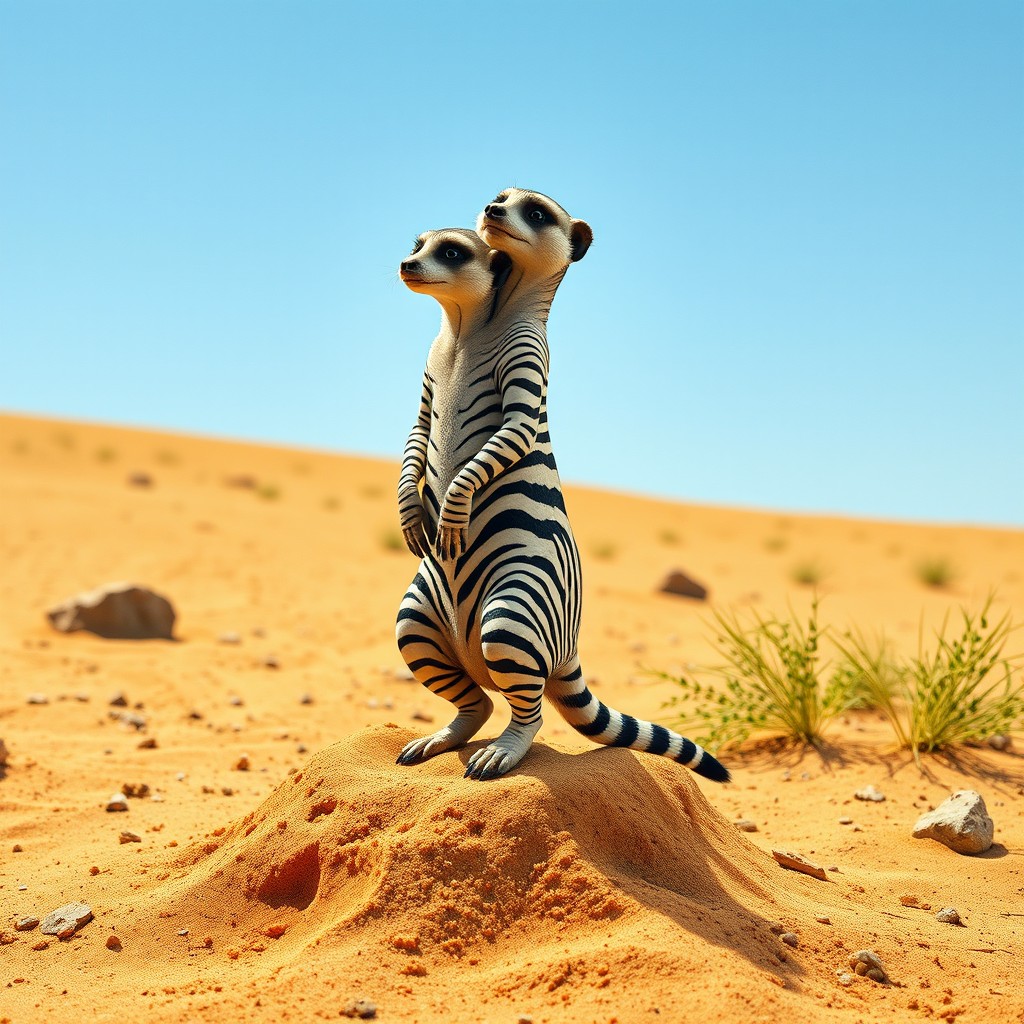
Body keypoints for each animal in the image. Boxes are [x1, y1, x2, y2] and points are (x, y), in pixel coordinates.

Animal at [395, 193, 729, 784]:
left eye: (452, 252)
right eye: (419, 246)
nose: (406, 264)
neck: (464, 332)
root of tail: (566, 645)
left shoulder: (528, 362)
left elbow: (503, 439)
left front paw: (453, 507)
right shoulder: (428, 380)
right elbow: (415, 439)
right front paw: (411, 509)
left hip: (516, 607)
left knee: (525, 707)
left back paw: (507, 748)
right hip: (419, 617)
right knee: (475, 699)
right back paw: (451, 732)